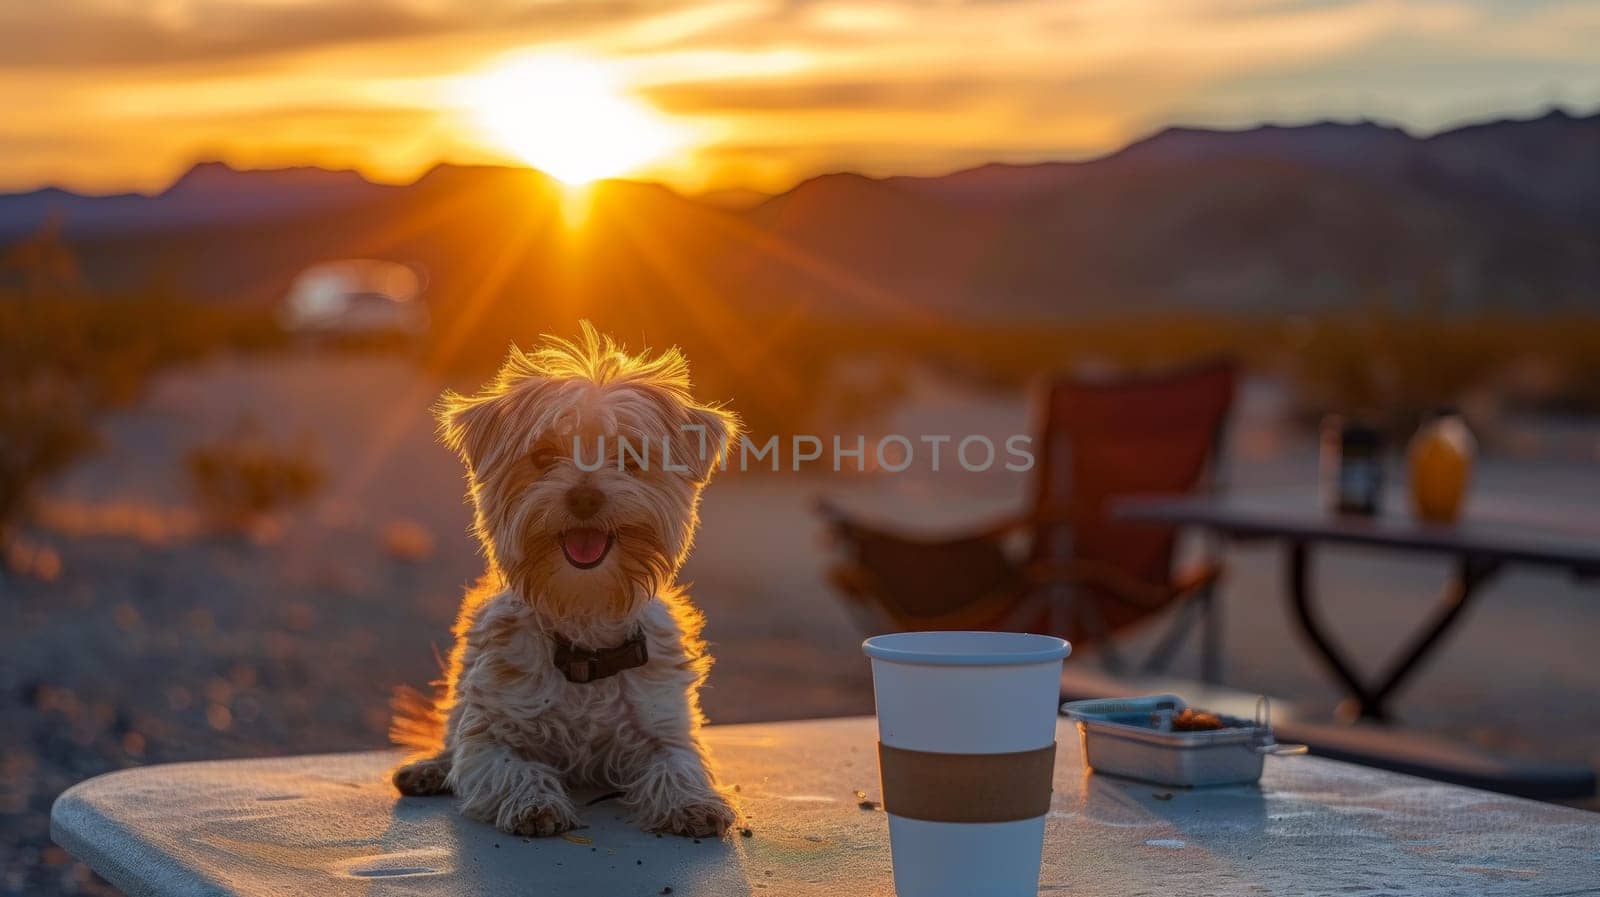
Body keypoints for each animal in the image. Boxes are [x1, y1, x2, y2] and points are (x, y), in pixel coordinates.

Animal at [390, 322, 739, 837]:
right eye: (543, 456)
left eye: (630, 456)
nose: (585, 497)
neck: (583, 623)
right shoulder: (492, 729)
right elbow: (506, 764)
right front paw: (534, 801)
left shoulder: (663, 722)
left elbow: (677, 763)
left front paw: (692, 801)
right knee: (451, 734)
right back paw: (429, 769)